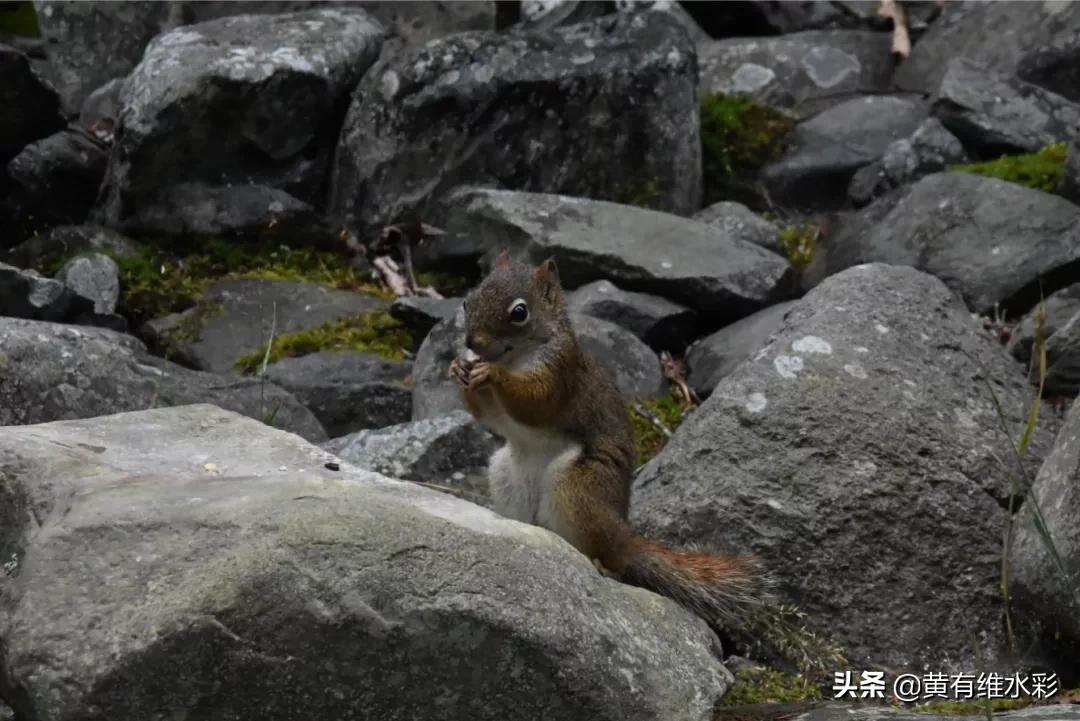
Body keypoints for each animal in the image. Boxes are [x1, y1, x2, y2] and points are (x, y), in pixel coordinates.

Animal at [447, 253, 768, 630]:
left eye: (519, 312)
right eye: (467, 300)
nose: (472, 342)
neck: (514, 356)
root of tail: (623, 537)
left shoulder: (562, 374)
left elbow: (534, 403)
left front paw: (493, 375)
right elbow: (488, 416)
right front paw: (458, 369)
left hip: (579, 488)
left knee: (612, 557)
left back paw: (606, 566)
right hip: (506, 477)